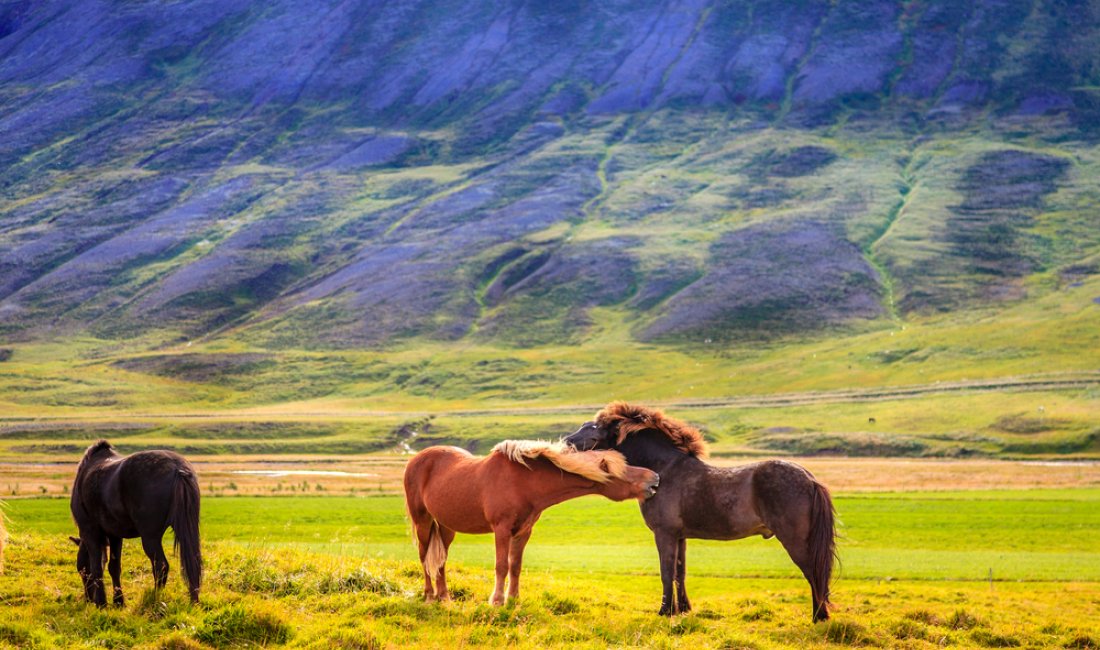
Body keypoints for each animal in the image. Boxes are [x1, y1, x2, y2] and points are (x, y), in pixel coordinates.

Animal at [69, 439, 203, 607]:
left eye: (81, 571)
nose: (88, 599)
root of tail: (177, 468)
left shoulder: (89, 531)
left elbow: (96, 567)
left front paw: (101, 602)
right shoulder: (114, 535)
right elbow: (114, 567)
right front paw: (118, 601)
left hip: (150, 537)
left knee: (161, 566)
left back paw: (155, 598)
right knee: (192, 564)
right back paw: (193, 600)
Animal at [409, 439, 655, 607]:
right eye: (624, 471)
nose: (655, 479)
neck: (523, 482)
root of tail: (416, 459)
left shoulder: (523, 532)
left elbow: (515, 566)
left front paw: (513, 599)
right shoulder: (502, 530)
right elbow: (502, 565)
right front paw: (497, 601)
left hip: (446, 526)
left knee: (441, 559)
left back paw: (444, 597)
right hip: (422, 521)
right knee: (424, 556)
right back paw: (429, 595)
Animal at [563, 404, 836, 624]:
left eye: (593, 428)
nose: (567, 441)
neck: (665, 471)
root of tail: (809, 479)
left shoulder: (664, 534)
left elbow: (666, 572)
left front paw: (664, 612)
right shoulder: (680, 536)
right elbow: (679, 573)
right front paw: (682, 609)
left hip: (794, 540)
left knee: (813, 573)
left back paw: (818, 617)